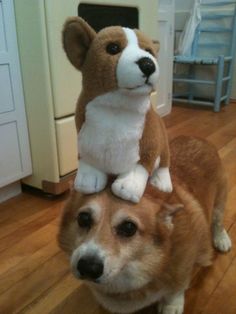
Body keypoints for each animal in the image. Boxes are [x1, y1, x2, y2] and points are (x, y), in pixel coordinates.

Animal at [58, 137, 231, 314]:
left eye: (129, 227)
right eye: (83, 218)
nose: (88, 267)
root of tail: (197, 138)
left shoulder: (184, 265)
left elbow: (177, 288)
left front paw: (172, 305)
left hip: (219, 202)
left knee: (217, 222)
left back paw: (222, 239)